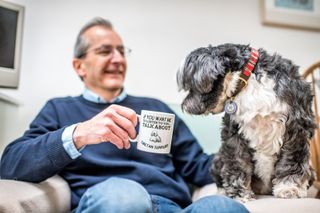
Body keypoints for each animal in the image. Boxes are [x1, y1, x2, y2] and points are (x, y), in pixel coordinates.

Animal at [176, 42, 316, 201]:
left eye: (192, 87)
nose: (184, 106)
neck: (249, 81)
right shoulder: (234, 132)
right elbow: (238, 163)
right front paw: (238, 193)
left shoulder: (297, 128)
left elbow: (292, 160)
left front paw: (289, 188)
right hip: (218, 159)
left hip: (311, 170)